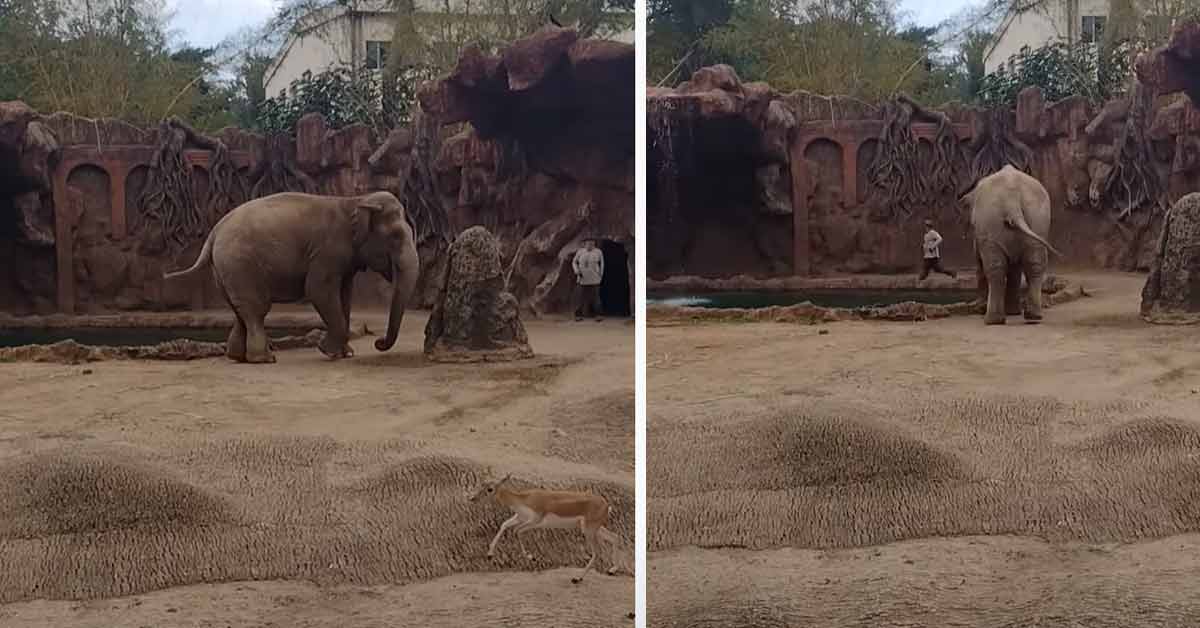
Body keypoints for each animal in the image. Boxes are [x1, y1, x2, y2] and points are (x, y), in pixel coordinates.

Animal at [164, 190, 417, 362]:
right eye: (395, 237)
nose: (378, 342)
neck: (356, 200)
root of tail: (214, 232)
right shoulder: (328, 250)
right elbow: (318, 290)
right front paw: (328, 351)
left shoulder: (345, 260)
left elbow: (344, 295)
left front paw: (346, 354)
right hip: (239, 264)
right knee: (256, 309)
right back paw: (265, 359)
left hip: (225, 270)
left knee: (240, 311)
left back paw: (238, 357)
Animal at [465, 470, 619, 585]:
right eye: (481, 485)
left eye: (490, 489)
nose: (472, 499)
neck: (524, 499)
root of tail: (606, 505)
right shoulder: (519, 518)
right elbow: (504, 525)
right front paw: (490, 554)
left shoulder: (534, 521)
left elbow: (516, 531)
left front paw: (531, 557)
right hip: (594, 529)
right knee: (614, 538)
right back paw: (612, 570)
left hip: (589, 530)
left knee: (598, 552)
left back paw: (577, 578)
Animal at [960, 164, 1065, 326]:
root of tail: (1012, 200)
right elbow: (1015, 269)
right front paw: (1013, 312)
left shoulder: (979, 233)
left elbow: (980, 263)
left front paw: (980, 309)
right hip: (1038, 217)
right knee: (1035, 262)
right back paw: (1033, 316)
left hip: (990, 220)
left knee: (994, 266)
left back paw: (991, 320)